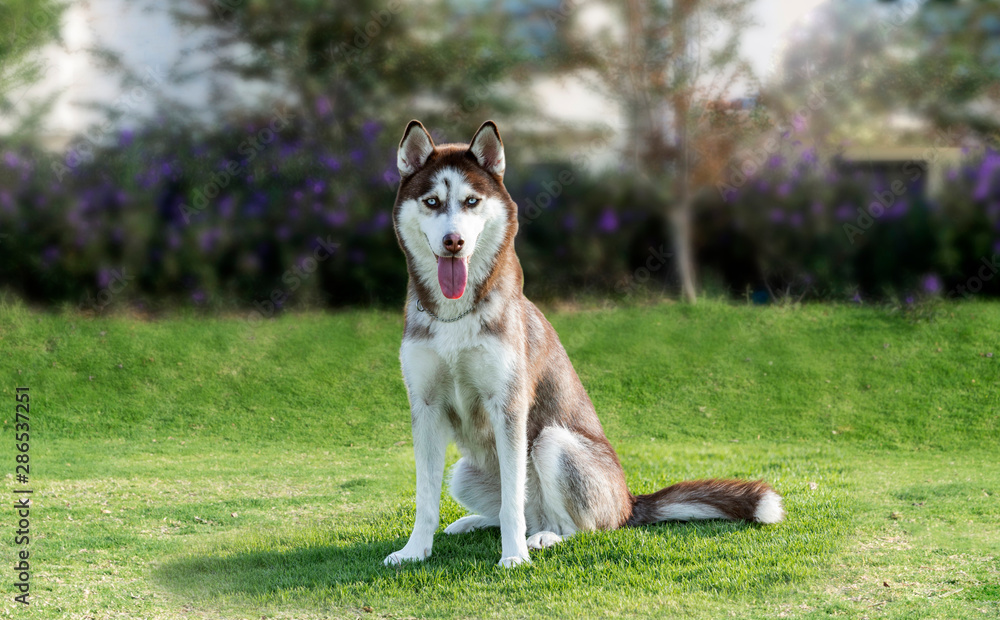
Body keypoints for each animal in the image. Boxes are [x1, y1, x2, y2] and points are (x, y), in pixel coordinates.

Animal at [386, 120, 784, 568]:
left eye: (471, 201)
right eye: (432, 202)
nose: (453, 241)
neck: (456, 314)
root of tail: (629, 500)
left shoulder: (508, 406)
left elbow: (511, 504)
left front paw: (514, 557)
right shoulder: (425, 407)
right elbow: (427, 499)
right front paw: (414, 551)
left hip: (552, 443)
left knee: (573, 525)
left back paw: (543, 538)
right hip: (465, 472)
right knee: (516, 509)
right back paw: (474, 523)